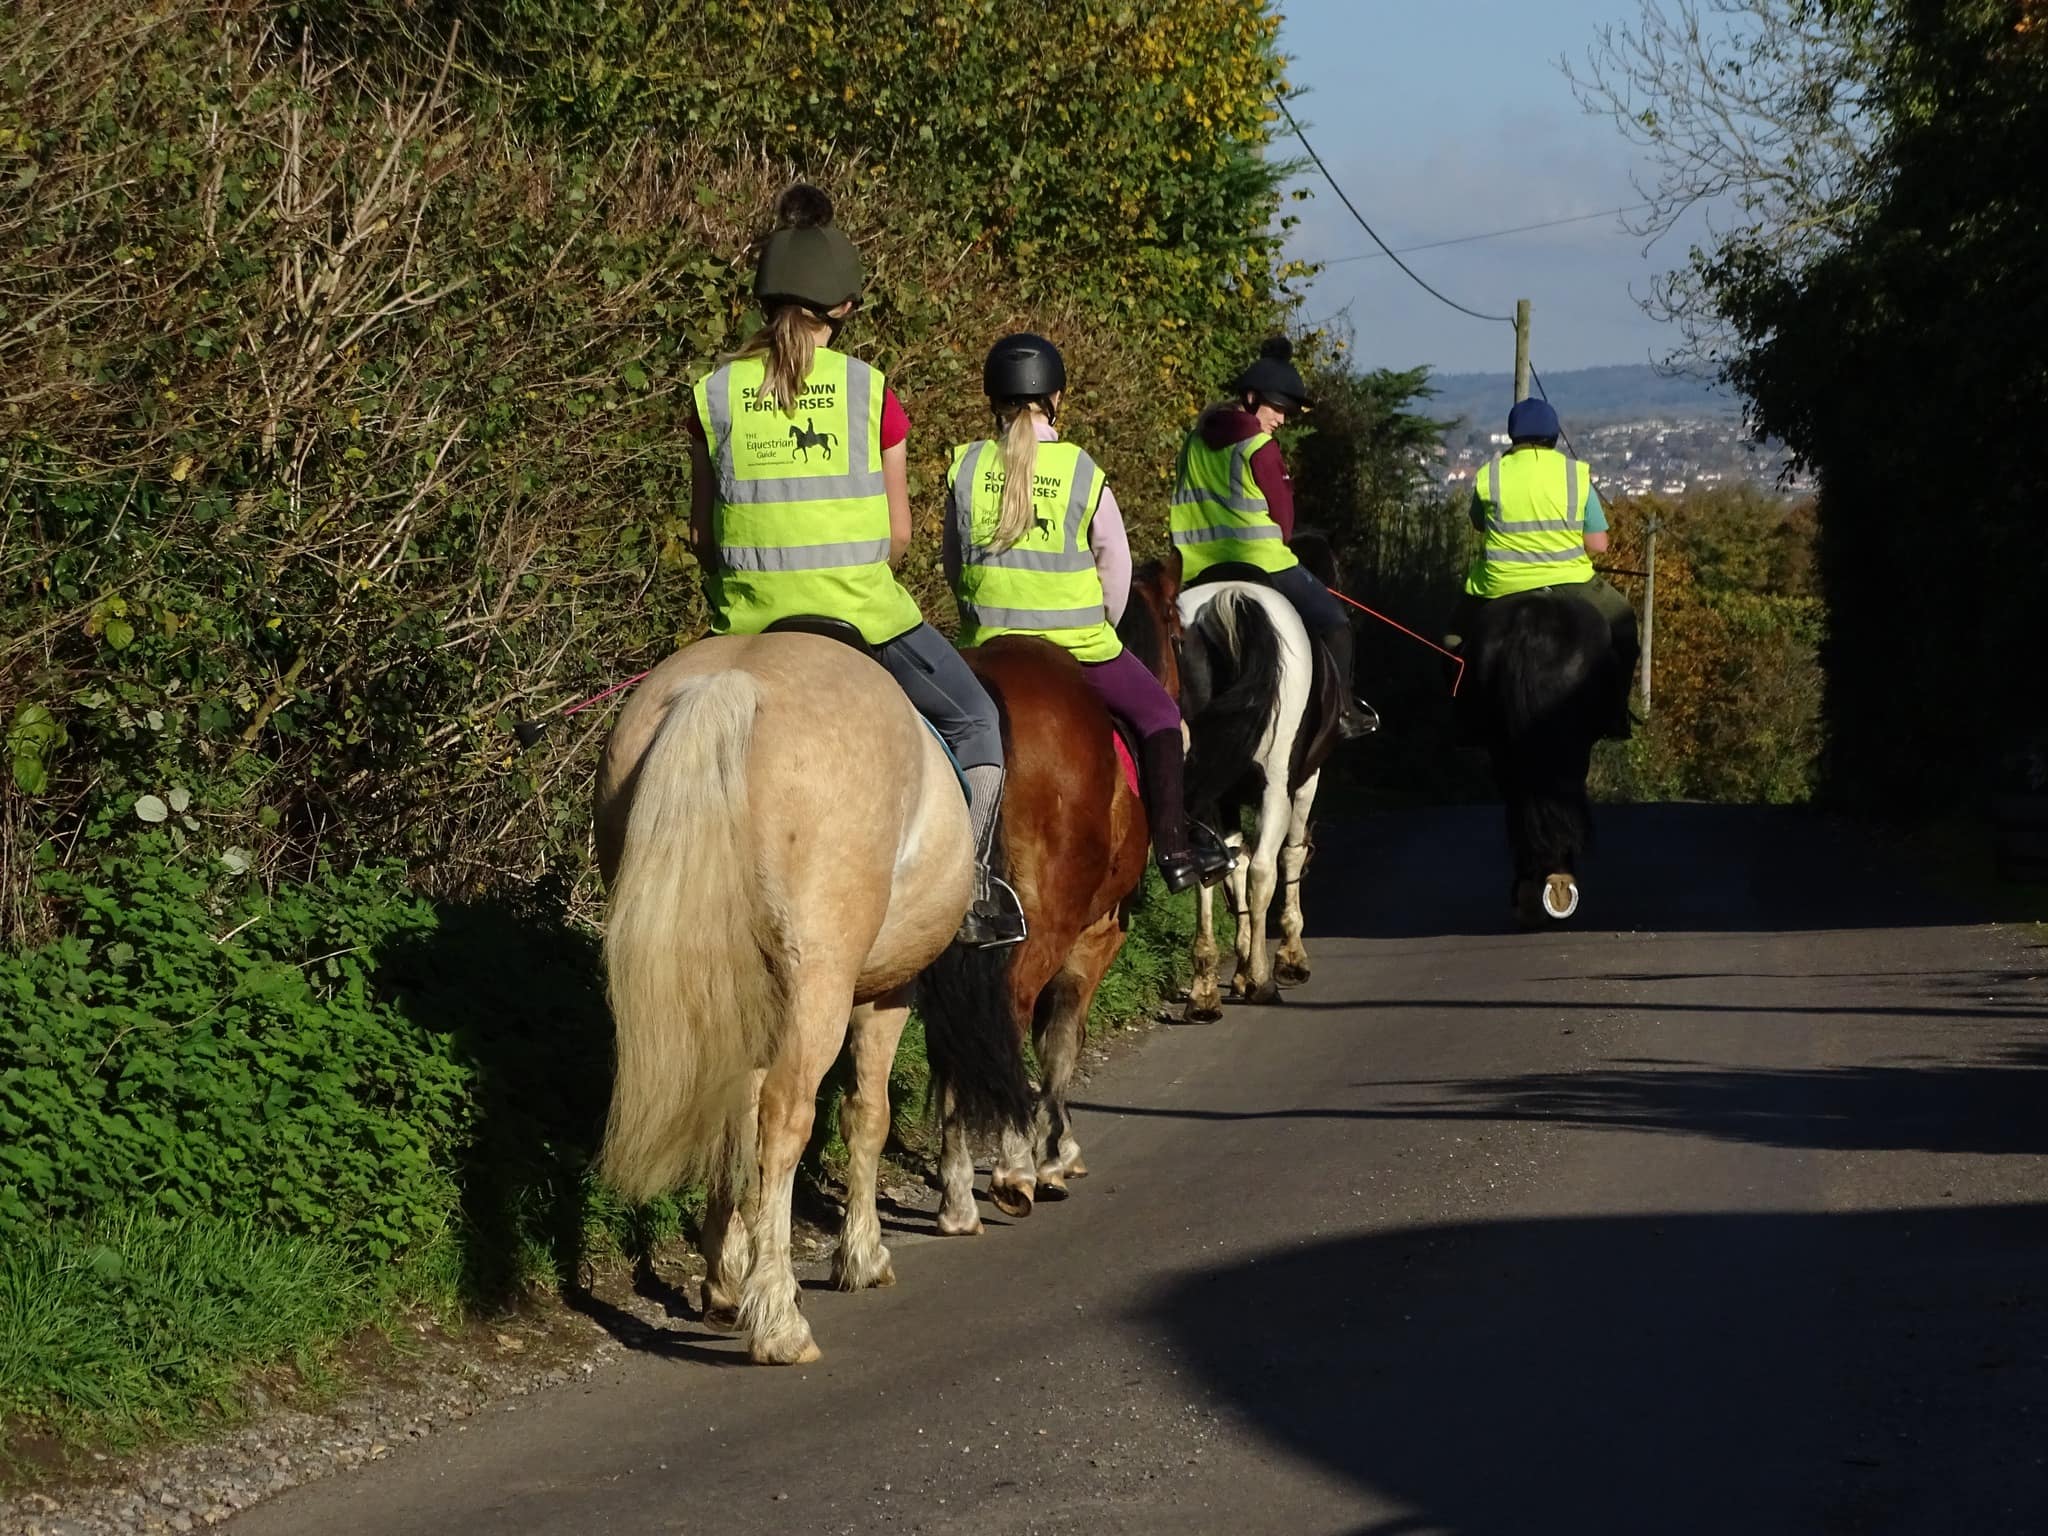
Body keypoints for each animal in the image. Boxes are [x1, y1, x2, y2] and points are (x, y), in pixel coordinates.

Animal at [598, 630, 1032, 1368]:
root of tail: (732, 682)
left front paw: (729, 1273)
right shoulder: (887, 992)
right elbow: (869, 1116)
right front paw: (861, 1256)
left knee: (739, 1111)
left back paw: (732, 1286)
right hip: (819, 984)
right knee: (785, 1119)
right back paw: (778, 1320)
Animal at [929, 630, 1155, 1236]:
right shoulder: (1095, 938)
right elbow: (1062, 1037)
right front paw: (1054, 1155)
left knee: (952, 1034)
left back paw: (957, 1195)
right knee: (1011, 1010)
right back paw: (1013, 1169)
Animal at [1130, 561, 1335, 1015]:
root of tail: (1233, 598)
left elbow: (1231, 864)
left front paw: (1237, 969)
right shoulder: (1305, 781)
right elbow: (1287, 858)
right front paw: (1285, 960)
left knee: (1209, 869)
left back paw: (1204, 990)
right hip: (1277, 785)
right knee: (1264, 869)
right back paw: (1262, 981)